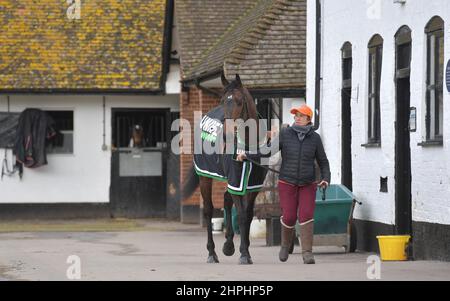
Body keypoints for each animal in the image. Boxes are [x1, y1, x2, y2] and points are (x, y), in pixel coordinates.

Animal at [182, 74, 268, 264]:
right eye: (222, 100)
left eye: (239, 101)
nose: (226, 135)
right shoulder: (236, 179)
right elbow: (241, 214)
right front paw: (244, 254)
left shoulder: (253, 184)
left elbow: (248, 214)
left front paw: (244, 249)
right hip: (205, 177)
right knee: (208, 210)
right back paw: (212, 253)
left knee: (226, 201)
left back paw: (228, 244)